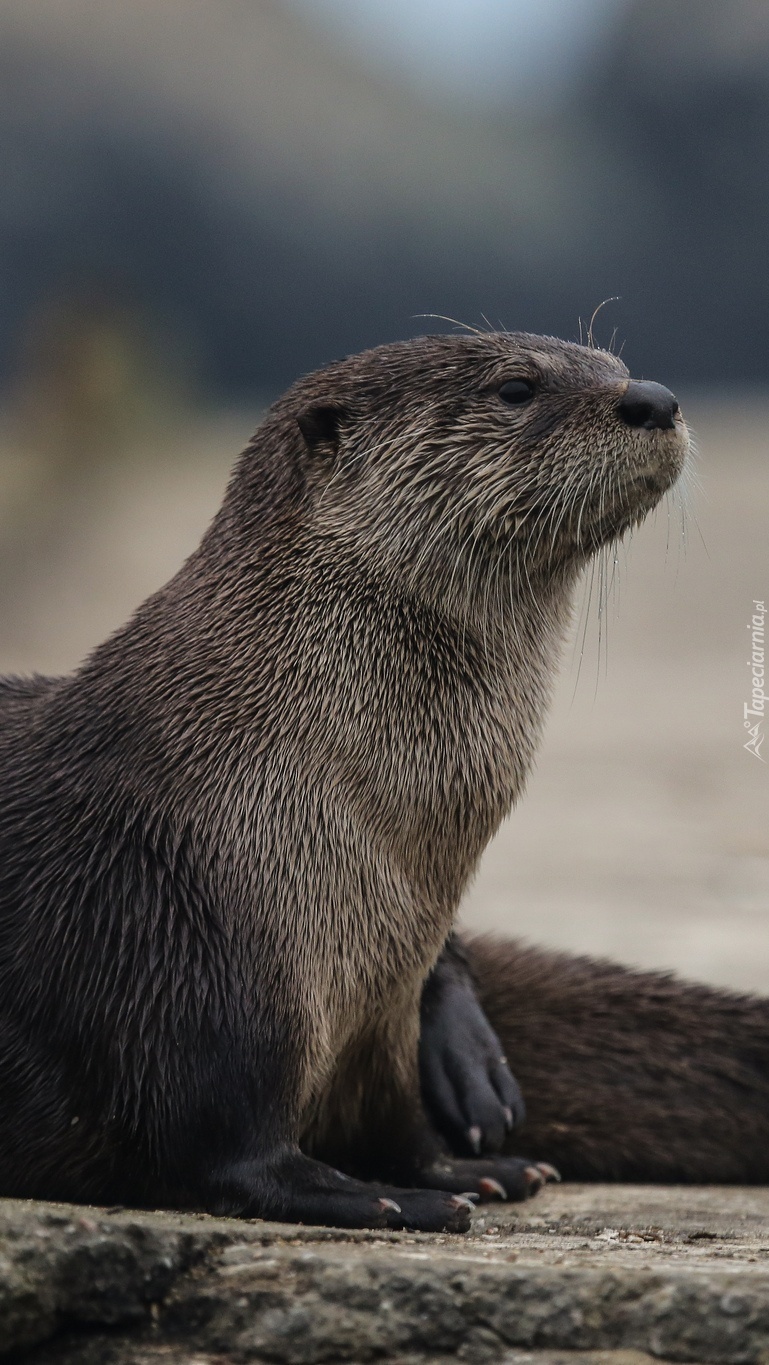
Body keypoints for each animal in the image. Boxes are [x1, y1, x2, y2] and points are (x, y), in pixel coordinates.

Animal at [0, 333, 685, 1239]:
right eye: (514, 386)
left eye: (611, 362)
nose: (653, 398)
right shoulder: (176, 937)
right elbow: (227, 1150)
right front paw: (380, 1195)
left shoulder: (382, 1004)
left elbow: (393, 1118)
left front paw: (457, 1167)